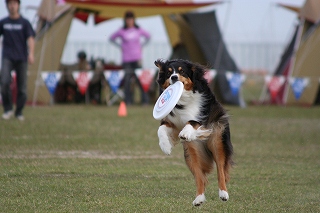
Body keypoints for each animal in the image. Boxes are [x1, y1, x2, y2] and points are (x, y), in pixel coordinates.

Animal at [154, 58, 232, 206]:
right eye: (168, 73)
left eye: (182, 71)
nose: (174, 77)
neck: (182, 98)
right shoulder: (171, 122)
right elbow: (160, 130)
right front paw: (165, 146)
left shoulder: (200, 118)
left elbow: (191, 122)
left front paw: (185, 133)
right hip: (192, 154)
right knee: (200, 177)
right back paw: (199, 199)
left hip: (217, 142)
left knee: (221, 170)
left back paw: (223, 193)